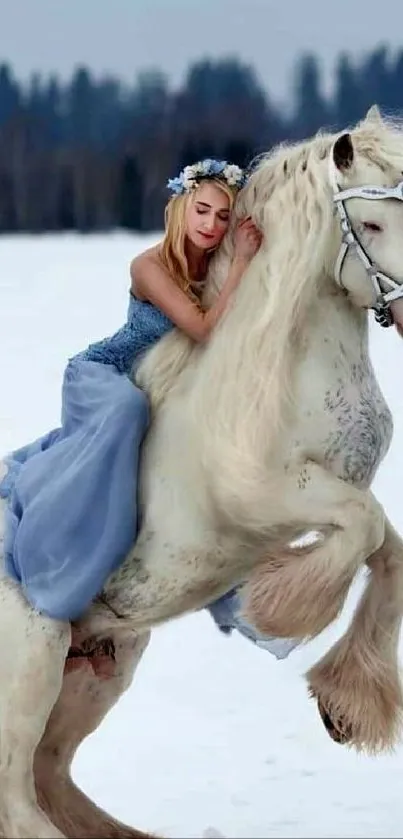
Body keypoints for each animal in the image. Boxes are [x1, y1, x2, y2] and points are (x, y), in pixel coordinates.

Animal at [0, 106, 403, 839]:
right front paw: (276, 609)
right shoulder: (272, 499)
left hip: (99, 668)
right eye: (374, 222)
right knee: (17, 799)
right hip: (31, 662)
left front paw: (342, 709)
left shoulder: (339, 493)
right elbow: (364, 531)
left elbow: (387, 549)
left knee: (51, 777)